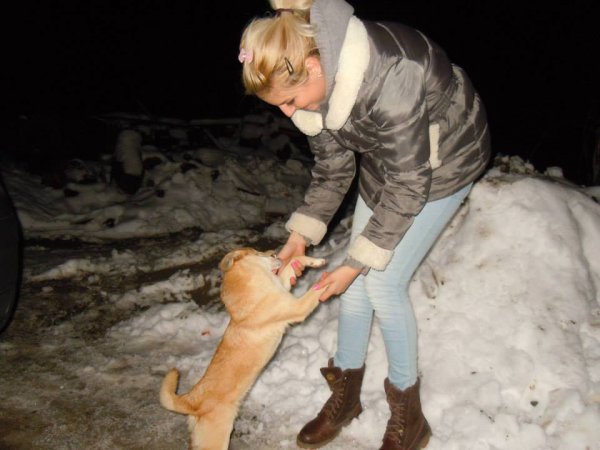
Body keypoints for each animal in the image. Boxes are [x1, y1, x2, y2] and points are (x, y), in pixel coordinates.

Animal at [160, 248, 328, 450]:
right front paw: (328, 279)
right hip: (216, 440)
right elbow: (314, 292)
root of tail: (193, 402)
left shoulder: (283, 288)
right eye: (256, 252)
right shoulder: (296, 307)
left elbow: (294, 261)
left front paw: (314, 261)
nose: (275, 253)